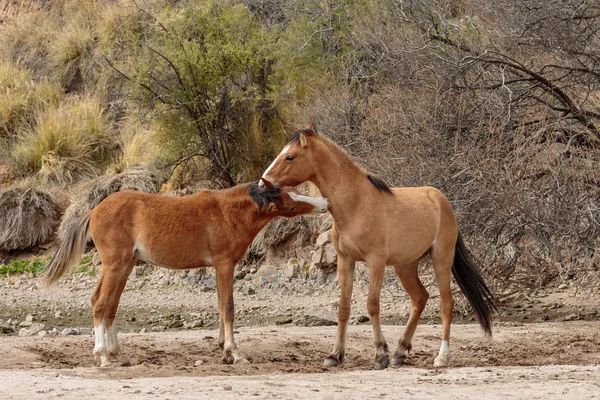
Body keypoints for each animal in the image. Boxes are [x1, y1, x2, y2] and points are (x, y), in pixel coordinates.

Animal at [43, 180, 328, 368]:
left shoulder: (219, 268)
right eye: (290, 198)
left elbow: (220, 306)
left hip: (125, 266)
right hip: (115, 265)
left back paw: (118, 355)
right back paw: (102, 356)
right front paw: (235, 353)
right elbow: (228, 308)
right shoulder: (225, 265)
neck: (228, 213)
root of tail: (94, 210)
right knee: (101, 304)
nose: (325, 202)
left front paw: (224, 351)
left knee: (107, 304)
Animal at [260, 125, 494, 368]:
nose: (263, 182)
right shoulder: (345, 260)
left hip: (441, 259)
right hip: (405, 266)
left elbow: (372, 305)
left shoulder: (376, 262)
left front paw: (380, 355)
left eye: (290, 156)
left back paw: (441, 357)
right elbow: (343, 308)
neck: (356, 204)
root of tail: (442, 201)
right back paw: (400, 351)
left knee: (446, 304)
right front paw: (335, 355)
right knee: (420, 298)